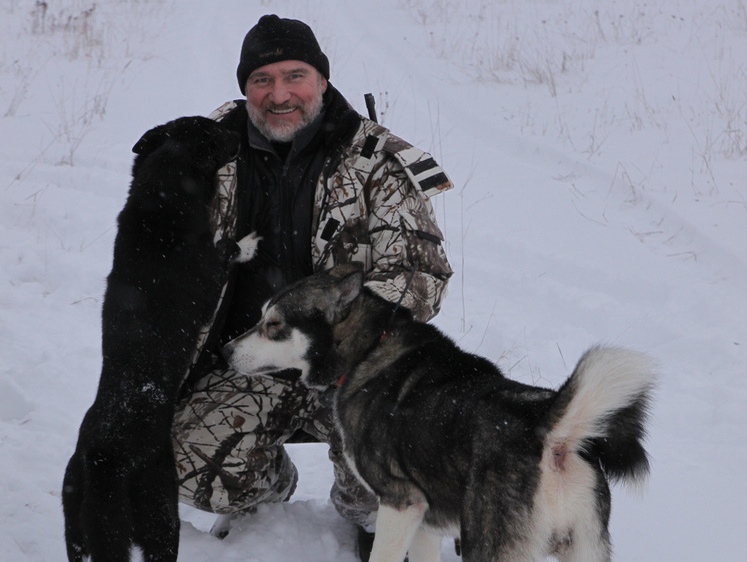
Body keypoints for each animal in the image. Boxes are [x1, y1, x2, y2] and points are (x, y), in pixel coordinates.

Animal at [62, 117, 260, 560]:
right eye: (216, 133)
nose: (241, 133)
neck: (161, 199)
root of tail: (102, 460)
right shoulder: (208, 279)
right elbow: (228, 248)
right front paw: (250, 242)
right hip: (159, 515)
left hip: (74, 526)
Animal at [225, 266, 656, 560]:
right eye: (261, 317)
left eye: (273, 324)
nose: (224, 350)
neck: (369, 348)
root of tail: (549, 429)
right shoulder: (427, 523)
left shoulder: (401, 503)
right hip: (584, 547)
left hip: (488, 544)